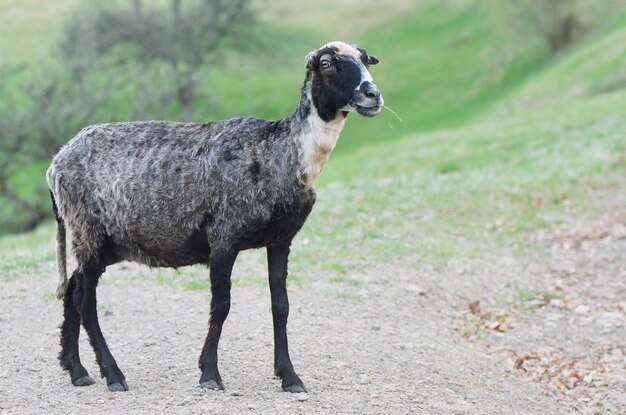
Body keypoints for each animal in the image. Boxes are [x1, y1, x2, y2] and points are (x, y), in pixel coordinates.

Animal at [46, 41, 382, 394]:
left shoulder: (281, 240)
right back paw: (112, 375)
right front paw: (209, 374)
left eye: (365, 59)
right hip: (86, 228)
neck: (281, 154)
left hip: (107, 242)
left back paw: (77, 370)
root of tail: (55, 164)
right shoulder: (224, 236)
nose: (372, 94)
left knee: (72, 289)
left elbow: (281, 306)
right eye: (327, 63)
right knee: (85, 301)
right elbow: (221, 305)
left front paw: (290, 377)